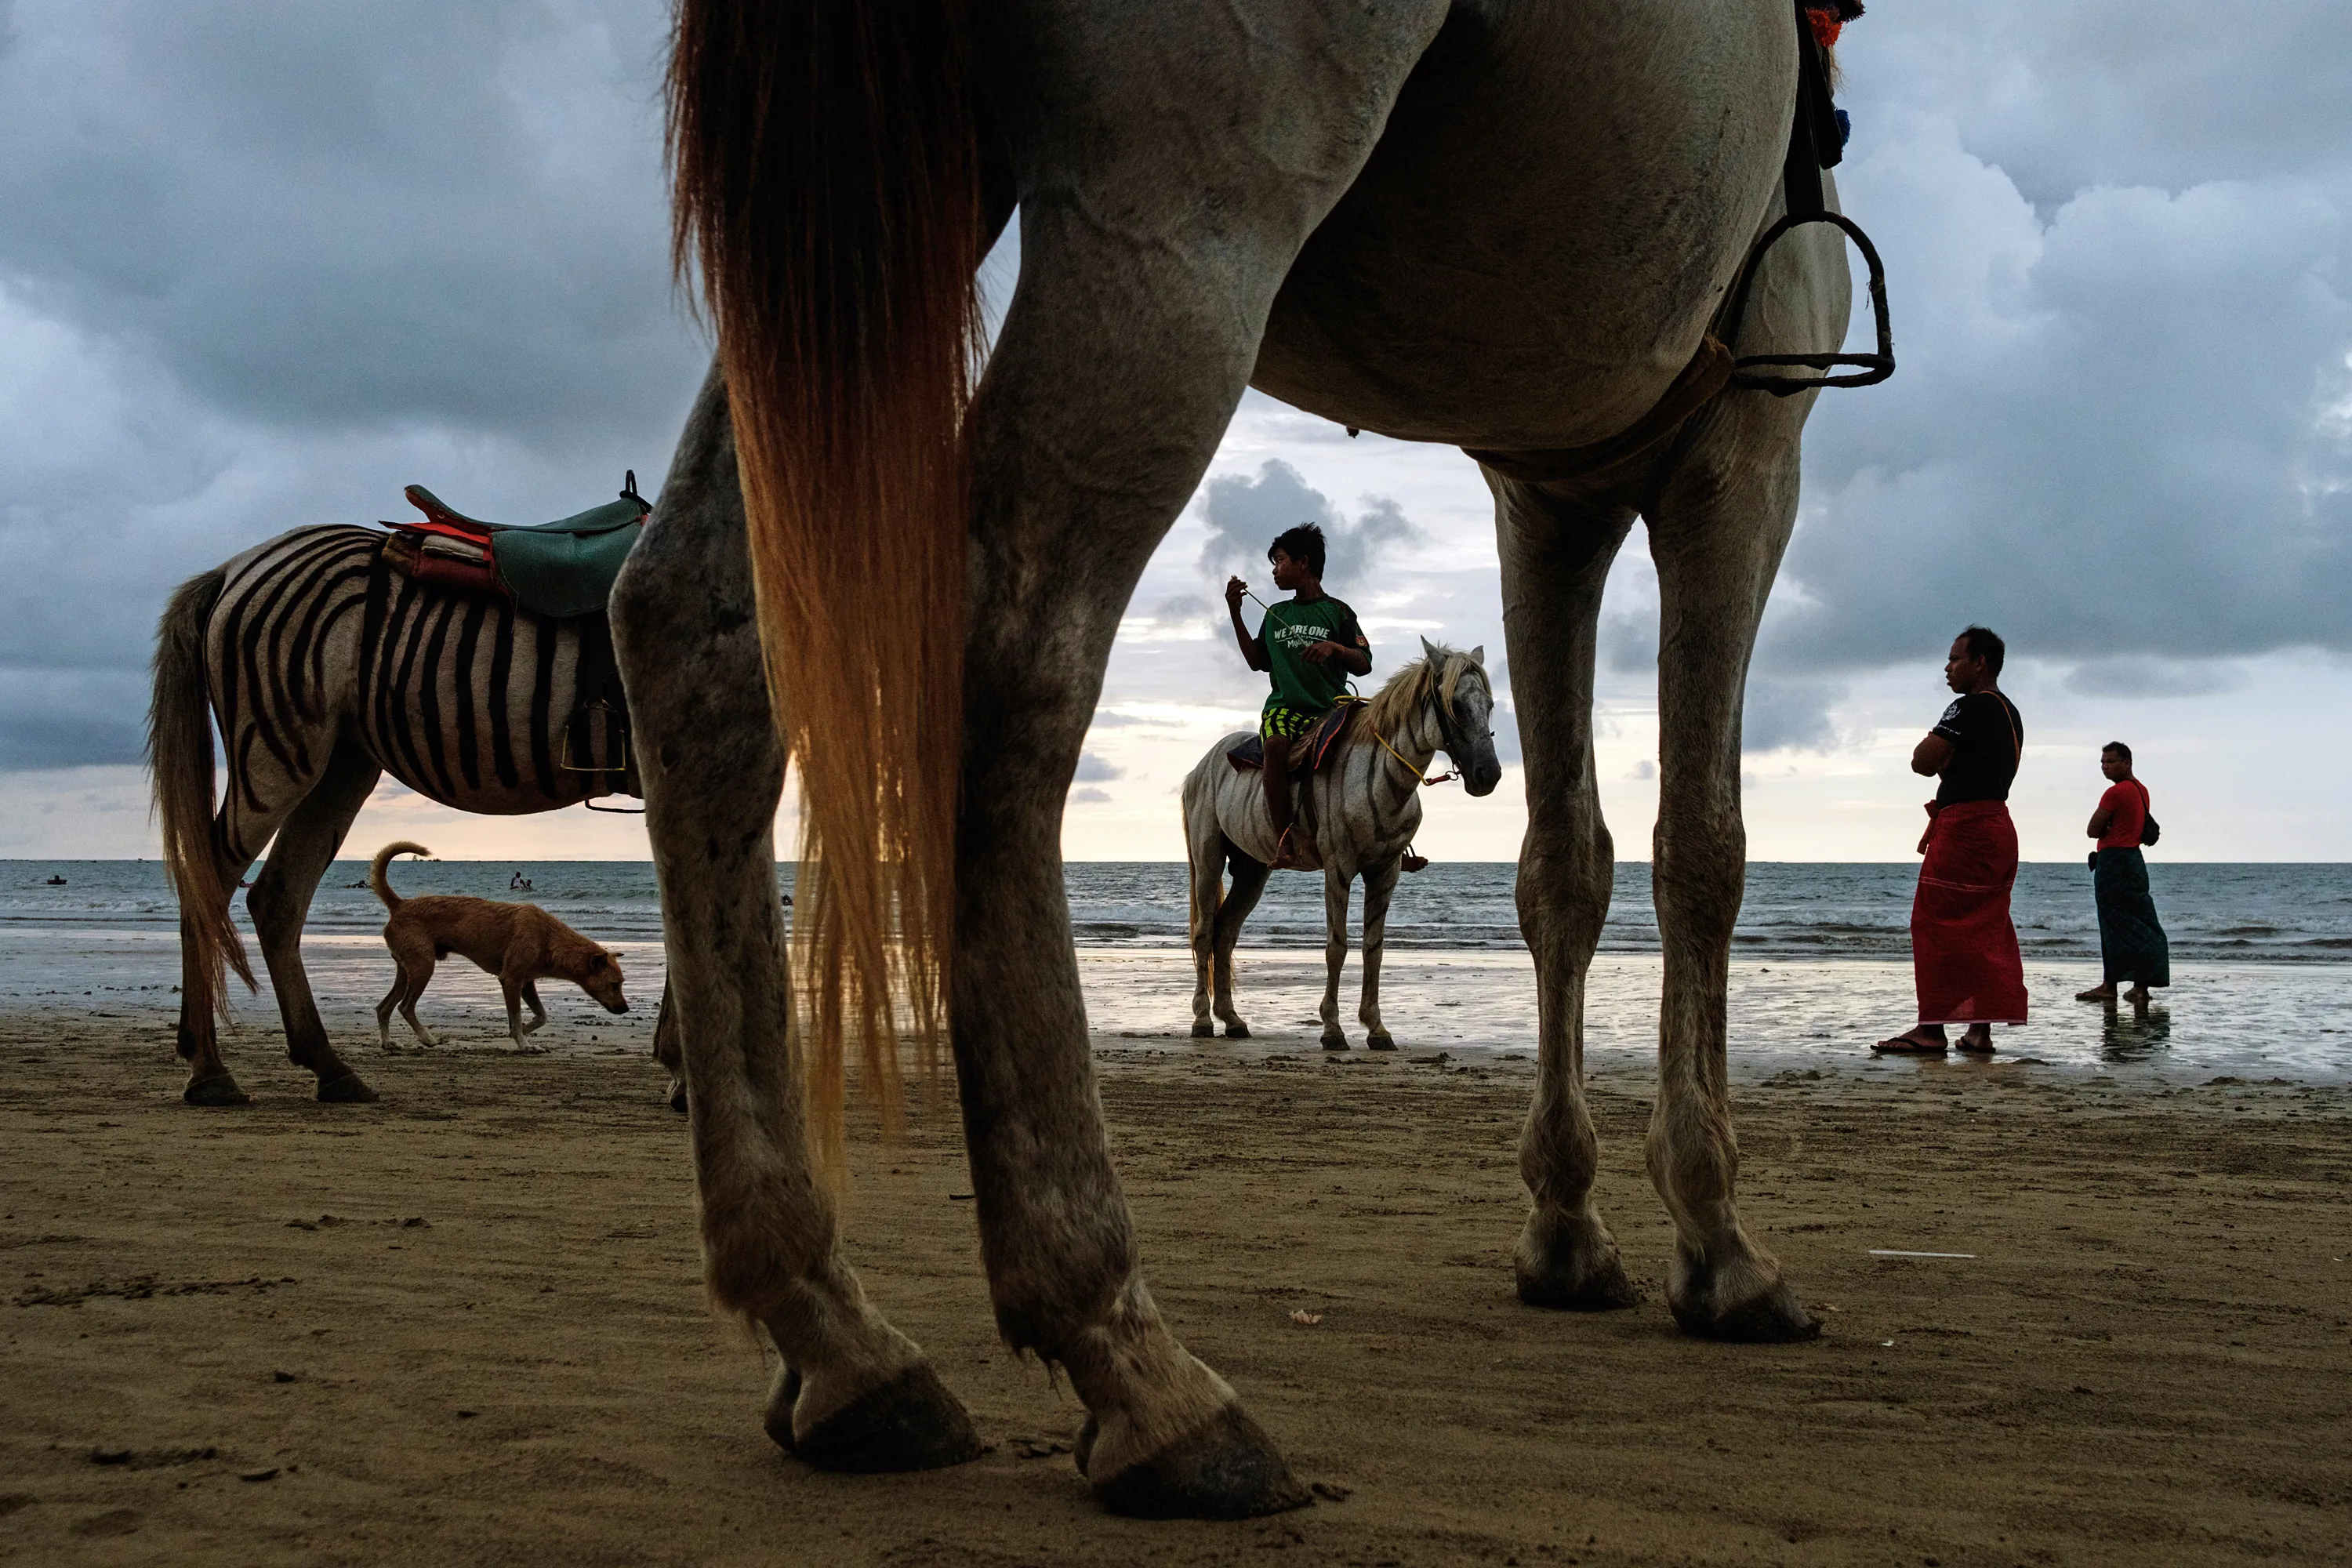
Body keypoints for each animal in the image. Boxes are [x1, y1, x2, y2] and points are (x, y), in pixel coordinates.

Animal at [367, 841, 626, 1048]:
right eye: (614, 984)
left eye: (622, 983)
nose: (625, 1009)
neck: (549, 938)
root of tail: (400, 904)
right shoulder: (511, 980)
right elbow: (518, 1015)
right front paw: (524, 1043)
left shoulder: (526, 983)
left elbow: (541, 1016)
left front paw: (521, 1031)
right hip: (423, 967)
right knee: (405, 1007)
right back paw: (426, 1038)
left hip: (406, 970)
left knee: (384, 1007)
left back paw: (388, 1042)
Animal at [1185, 639, 1496, 1053]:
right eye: (1456, 705)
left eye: (1489, 705)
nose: (1488, 774)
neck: (1379, 776)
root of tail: (1202, 768)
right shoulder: (1339, 869)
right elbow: (1337, 946)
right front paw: (1332, 1029)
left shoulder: (1385, 872)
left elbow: (1373, 947)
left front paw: (1377, 1028)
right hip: (1207, 858)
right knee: (1205, 932)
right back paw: (1203, 1019)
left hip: (1253, 870)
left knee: (1225, 933)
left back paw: (1232, 1019)